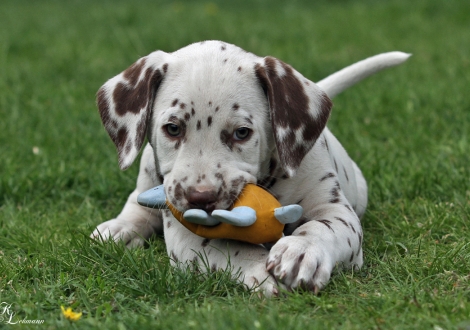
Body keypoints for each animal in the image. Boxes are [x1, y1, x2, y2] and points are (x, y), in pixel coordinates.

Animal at [91, 40, 408, 296]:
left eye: (242, 133)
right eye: (172, 128)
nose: (200, 198)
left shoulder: (334, 207)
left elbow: (324, 226)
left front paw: (302, 251)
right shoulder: (186, 233)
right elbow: (226, 246)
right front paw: (257, 269)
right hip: (146, 167)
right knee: (138, 203)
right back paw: (119, 228)